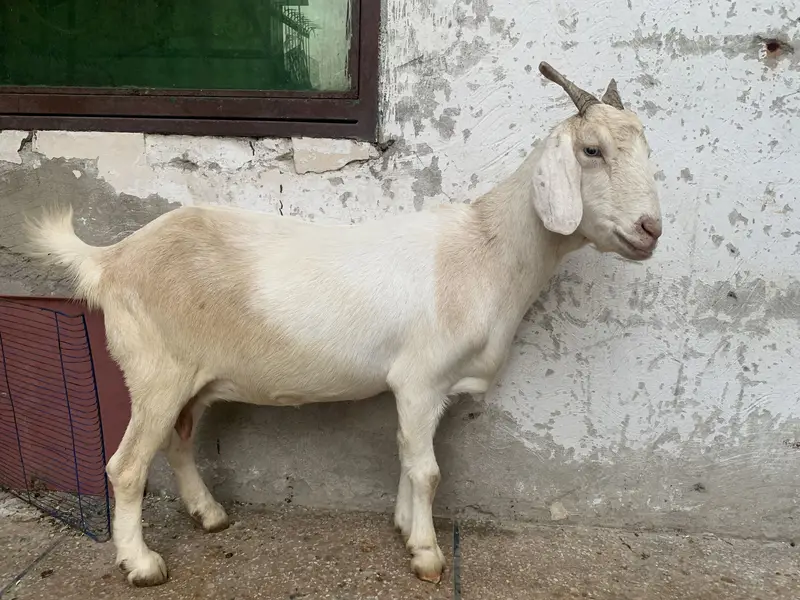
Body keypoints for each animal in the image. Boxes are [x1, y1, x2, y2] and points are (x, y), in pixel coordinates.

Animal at [24, 63, 662, 587]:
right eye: (591, 149)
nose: (650, 229)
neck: (484, 250)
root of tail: (111, 259)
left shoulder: (426, 390)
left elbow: (407, 454)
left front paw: (404, 526)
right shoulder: (420, 378)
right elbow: (428, 469)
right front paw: (427, 555)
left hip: (195, 379)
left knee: (179, 442)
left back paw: (210, 516)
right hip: (157, 370)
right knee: (126, 466)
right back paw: (141, 564)